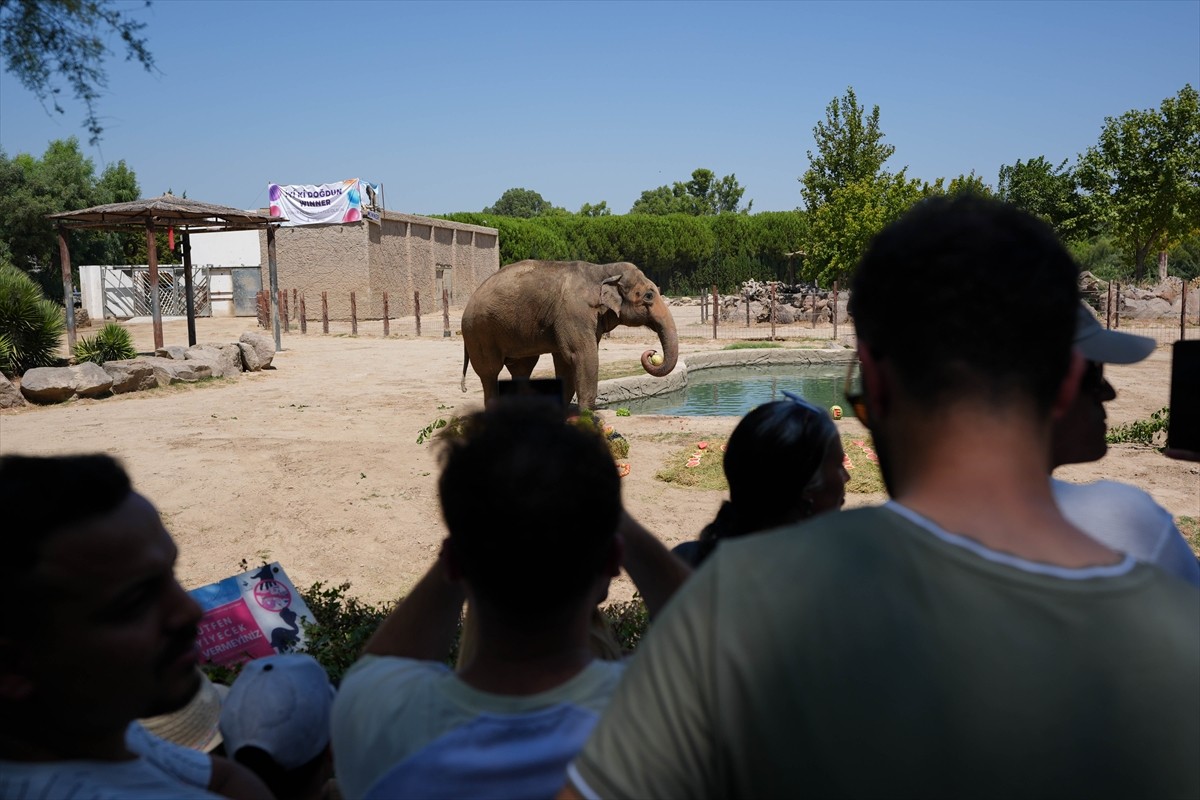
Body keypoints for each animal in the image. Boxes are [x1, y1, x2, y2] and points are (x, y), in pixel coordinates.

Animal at [456, 260, 676, 410]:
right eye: (649, 295)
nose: (652, 353)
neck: (603, 270)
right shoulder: (575, 313)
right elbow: (581, 356)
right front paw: (588, 414)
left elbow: (564, 360)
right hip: (480, 332)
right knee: (490, 372)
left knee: (522, 368)